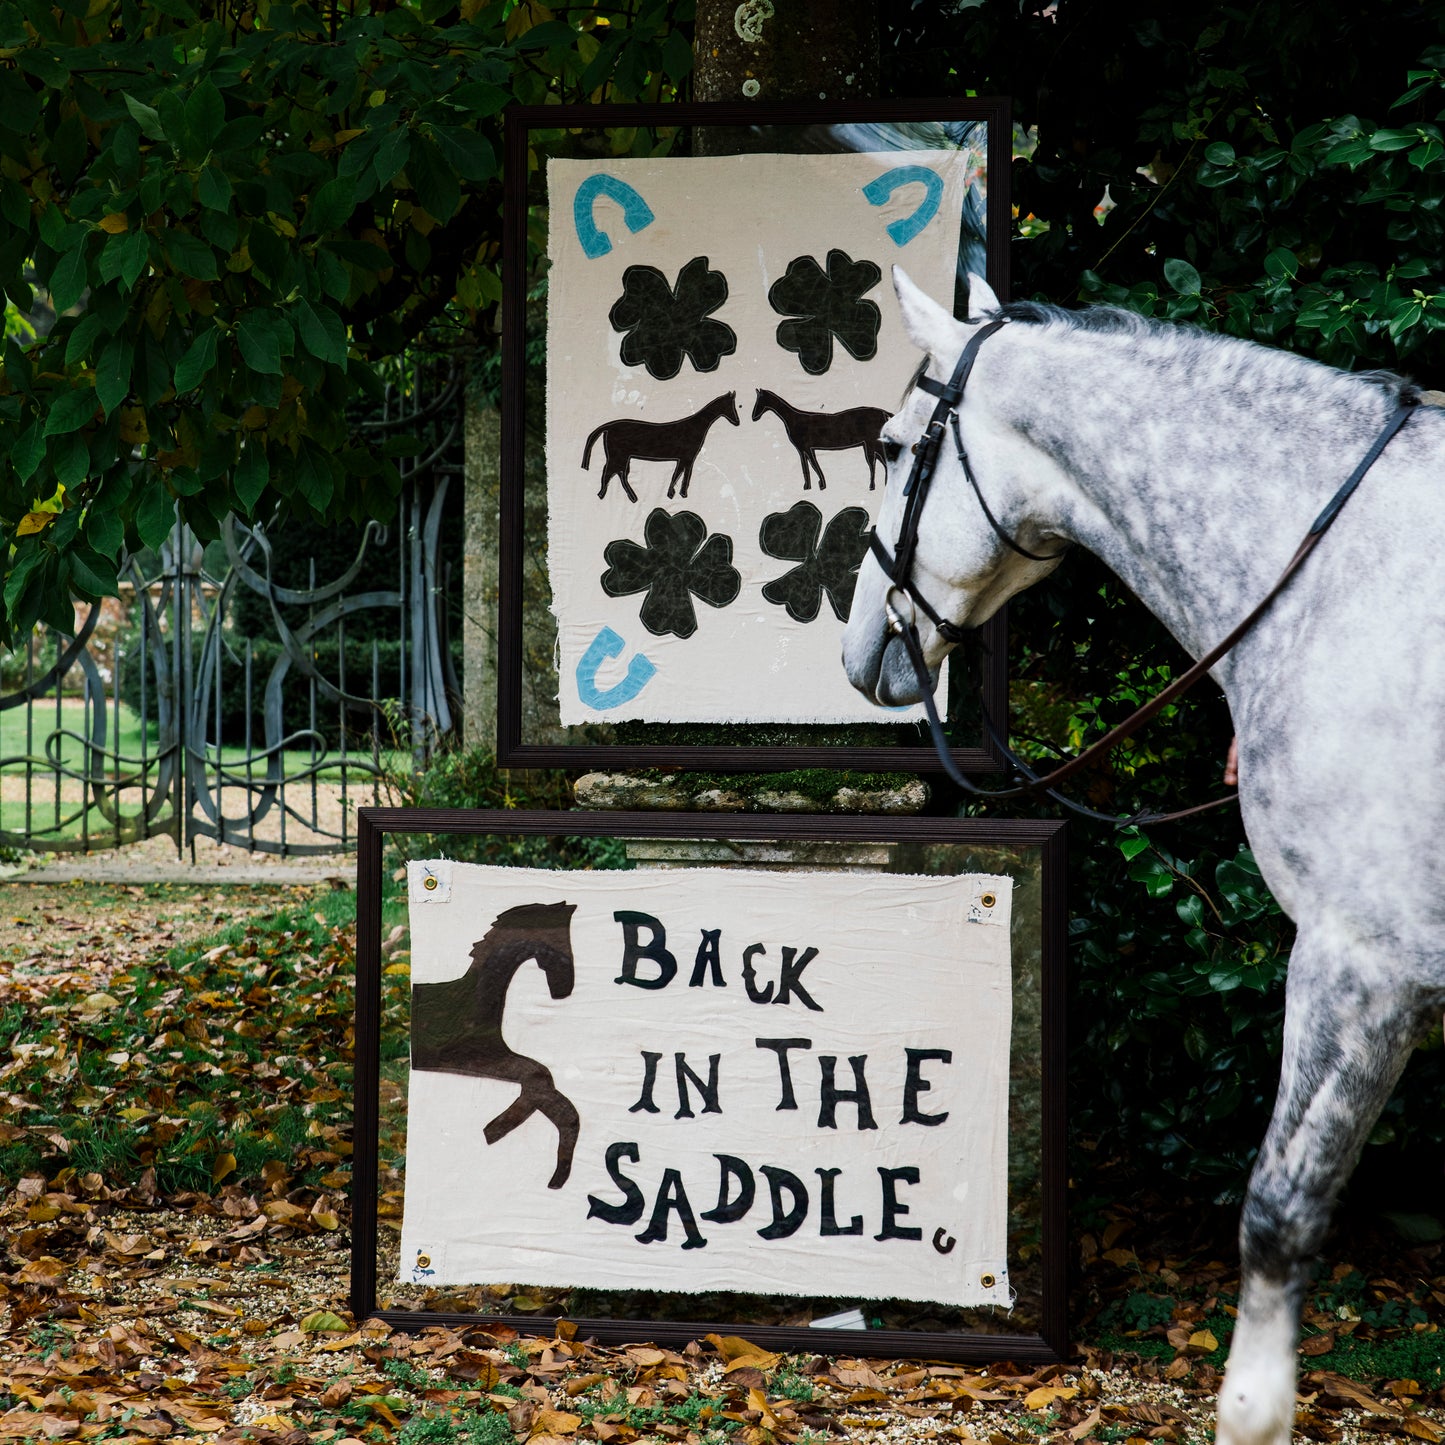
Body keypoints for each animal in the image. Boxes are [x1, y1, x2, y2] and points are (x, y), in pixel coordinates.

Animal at [843, 268, 1445, 1445]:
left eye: (889, 447)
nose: (858, 650)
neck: (1341, 579)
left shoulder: (1360, 965)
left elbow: (1276, 1214)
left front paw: (1250, 1411)